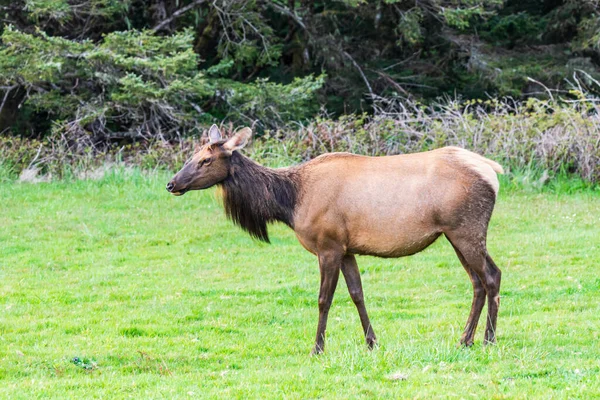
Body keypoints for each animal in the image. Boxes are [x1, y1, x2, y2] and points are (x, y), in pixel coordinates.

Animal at [166, 124, 504, 354]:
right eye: (192, 156)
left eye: (206, 160)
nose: (172, 184)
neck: (290, 203)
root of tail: (493, 170)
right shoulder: (346, 248)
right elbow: (357, 294)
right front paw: (371, 342)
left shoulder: (327, 245)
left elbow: (323, 299)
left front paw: (317, 347)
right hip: (454, 234)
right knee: (478, 281)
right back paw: (465, 339)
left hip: (466, 228)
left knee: (491, 275)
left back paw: (488, 340)